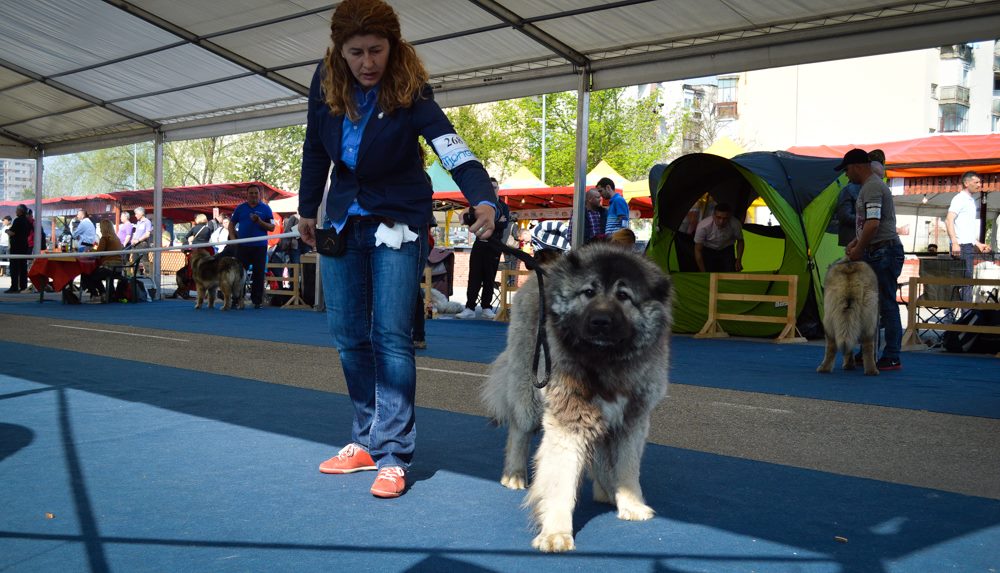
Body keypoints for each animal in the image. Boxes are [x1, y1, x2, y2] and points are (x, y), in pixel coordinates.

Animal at [482, 242, 673, 553]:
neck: (606, 362)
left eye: (623, 295)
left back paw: (606, 490)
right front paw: (555, 532)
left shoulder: (632, 421)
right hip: (528, 388)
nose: (600, 321)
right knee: (519, 431)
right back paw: (514, 474)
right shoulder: (568, 420)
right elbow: (560, 480)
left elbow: (627, 468)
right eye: (589, 292)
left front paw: (631, 503)